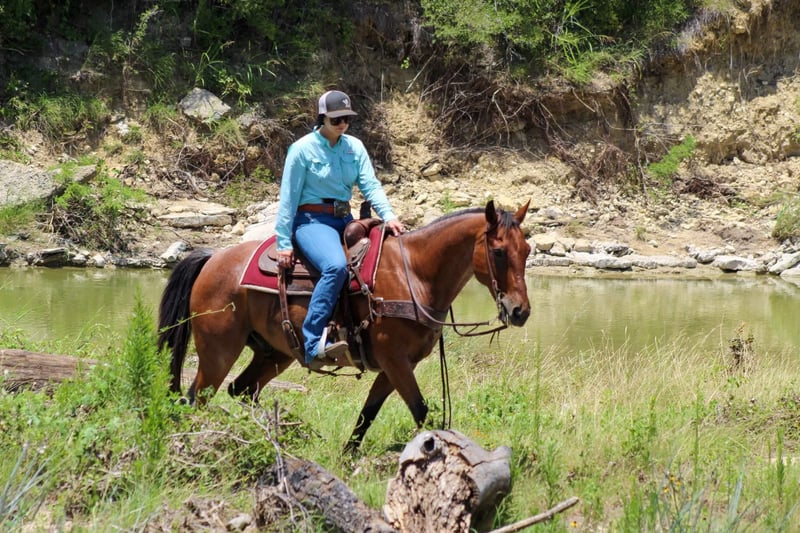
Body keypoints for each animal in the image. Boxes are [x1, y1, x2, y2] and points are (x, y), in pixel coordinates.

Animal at [157, 200, 532, 450]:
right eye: (498, 252)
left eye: (527, 250)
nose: (520, 311)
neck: (415, 274)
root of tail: (213, 259)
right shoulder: (395, 361)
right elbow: (421, 411)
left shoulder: (394, 367)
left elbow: (368, 414)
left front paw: (348, 458)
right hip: (218, 351)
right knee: (197, 397)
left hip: (275, 353)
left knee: (243, 390)